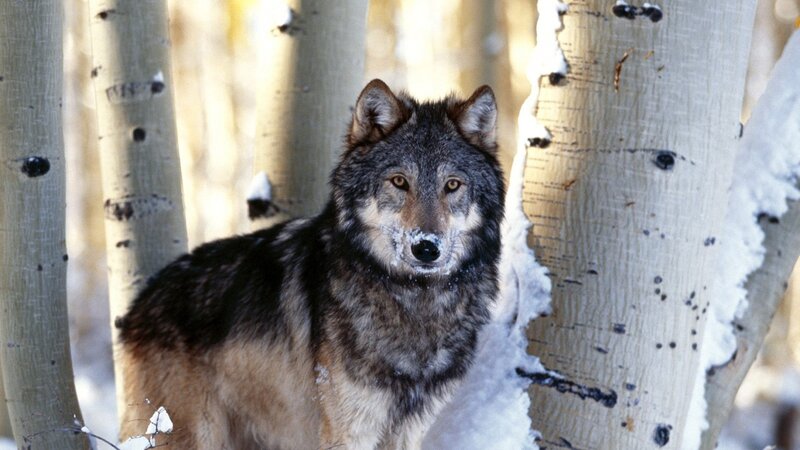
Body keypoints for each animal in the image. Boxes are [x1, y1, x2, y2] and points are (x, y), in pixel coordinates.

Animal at [116, 79, 505, 450]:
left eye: (452, 185)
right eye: (399, 181)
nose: (426, 247)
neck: (415, 302)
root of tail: (136, 307)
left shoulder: (408, 432)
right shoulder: (348, 432)